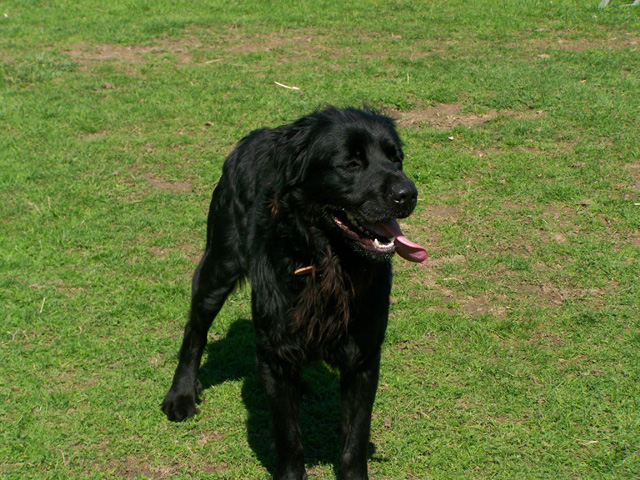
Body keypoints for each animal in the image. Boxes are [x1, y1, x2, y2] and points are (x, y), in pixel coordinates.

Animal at [162, 107, 428, 480]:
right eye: (351, 163)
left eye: (396, 159)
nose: (408, 193)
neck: (329, 264)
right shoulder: (276, 352)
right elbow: (288, 435)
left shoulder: (362, 356)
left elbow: (356, 436)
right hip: (219, 265)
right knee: (195, 331)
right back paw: (182, 393)